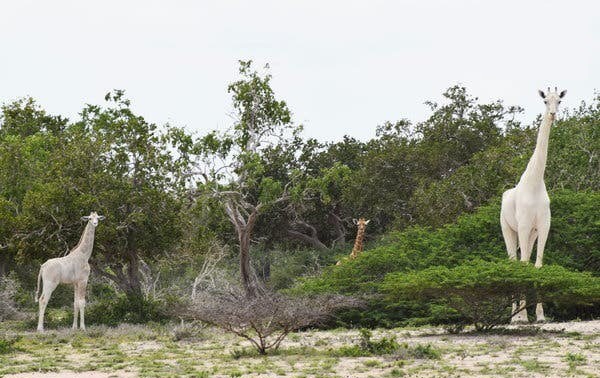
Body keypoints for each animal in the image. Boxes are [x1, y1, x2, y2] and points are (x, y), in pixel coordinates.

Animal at [502, 88, 568, 322]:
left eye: (559, 101)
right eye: (545, 101)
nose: (553, 114)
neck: (535, 182)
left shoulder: (543, 226)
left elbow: (537, 266)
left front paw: (540, 315)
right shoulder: (522, 226)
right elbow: (522, 265)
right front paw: (521, 316)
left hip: (531, 233)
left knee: (525, 259)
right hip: (508, 228)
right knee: (513, 262)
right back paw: (513, 316)